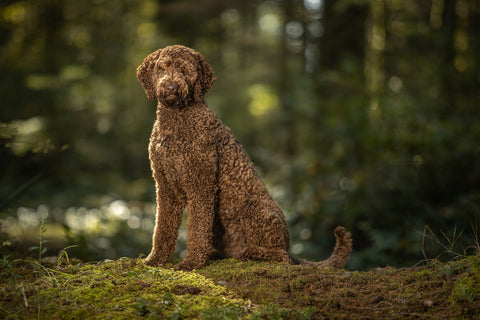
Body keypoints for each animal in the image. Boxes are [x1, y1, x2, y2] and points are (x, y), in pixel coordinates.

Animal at [137, 45, 350, 270]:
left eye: (185, 69)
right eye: (162, 67)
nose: (170, 87)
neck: (176, 120)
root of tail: (290, 248)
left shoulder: (201, 185)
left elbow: (196, 228)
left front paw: (191, 262)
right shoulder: (165, 186)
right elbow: (162, 228)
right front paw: (154, 260)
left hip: (253, 210)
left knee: (281, 256)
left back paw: (250, 252)